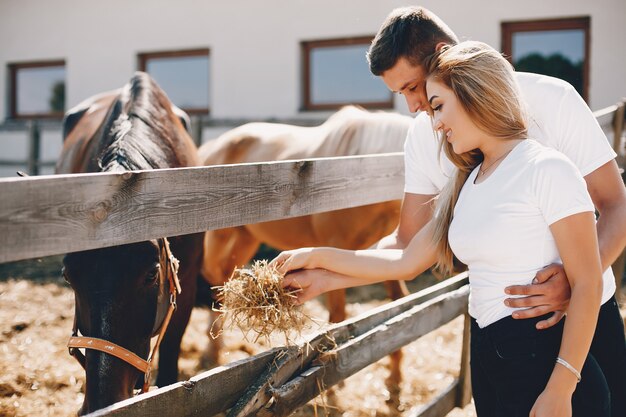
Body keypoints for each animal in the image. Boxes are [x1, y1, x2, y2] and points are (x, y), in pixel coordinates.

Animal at [197, 105, 412, 386]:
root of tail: (215, 144)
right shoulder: (334, 247)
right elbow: (337, 316)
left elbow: (398, 301)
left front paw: (395, 377)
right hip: (221, 234)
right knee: (216, 279)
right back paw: (212, 351)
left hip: (246, 238)